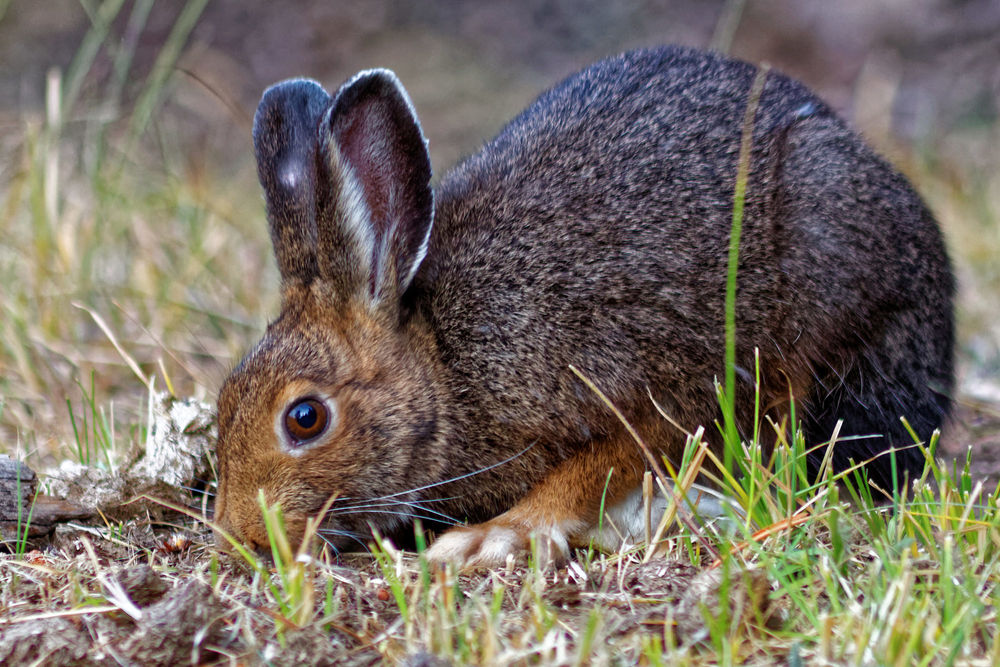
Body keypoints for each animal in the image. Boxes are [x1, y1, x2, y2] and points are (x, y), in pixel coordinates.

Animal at [212, 45, 953, 567]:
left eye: (305, 418)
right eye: (222, 402)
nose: (241, 534)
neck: (443, 366)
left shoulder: (655, 390)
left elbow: (598, 465)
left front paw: (497, 535)